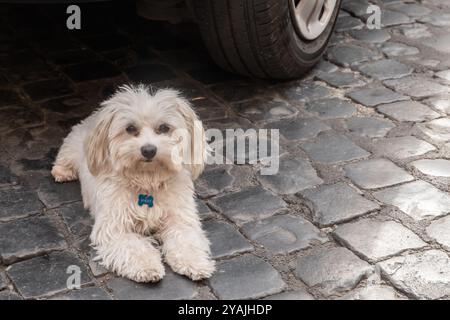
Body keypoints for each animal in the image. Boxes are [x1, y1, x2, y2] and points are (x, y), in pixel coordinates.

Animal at [51, 85, 216, 282]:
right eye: (130, 128)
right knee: (64, 158)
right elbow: (133, 247)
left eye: (164, 128)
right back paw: (62, 171)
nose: (149, 150)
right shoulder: (115, 227)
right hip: (72, 146)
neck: (147, 181)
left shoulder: (180, 218)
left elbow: (186, 240)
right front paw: (147, 266)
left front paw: (194, 263)